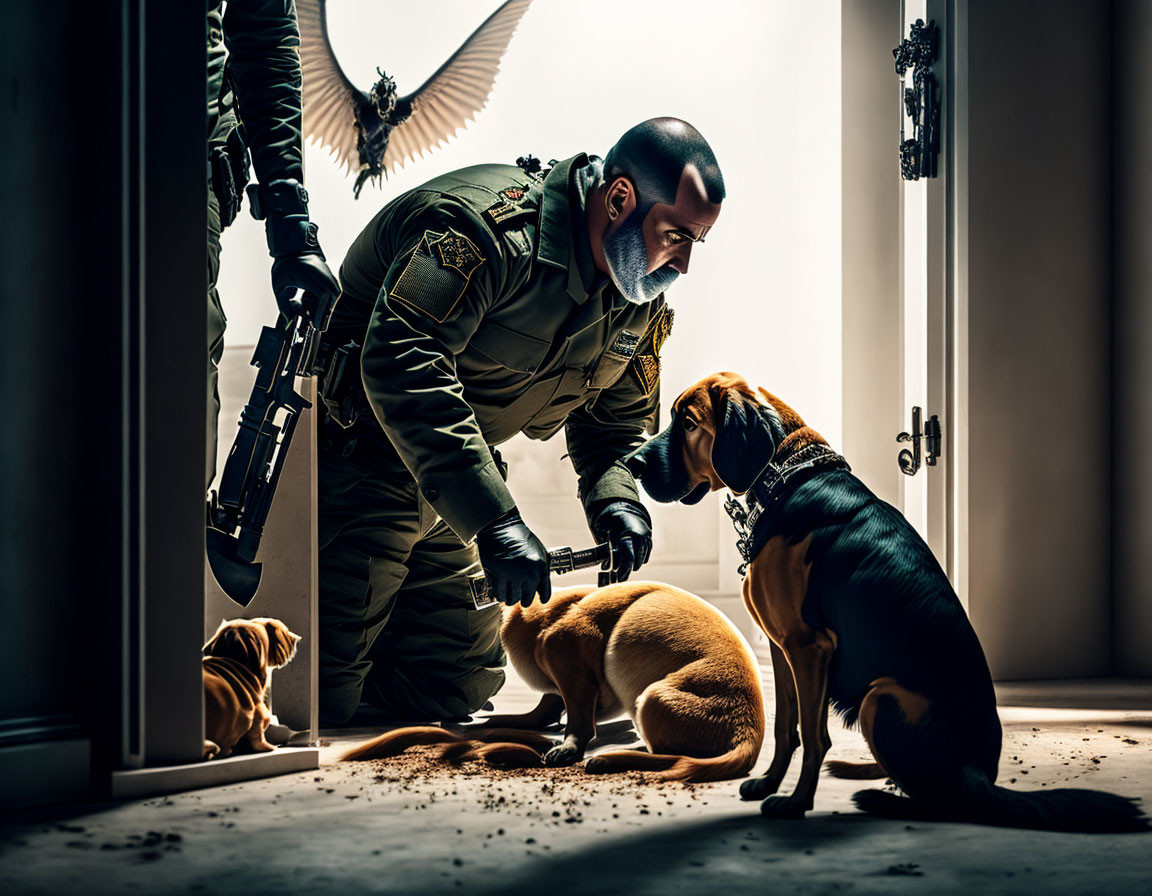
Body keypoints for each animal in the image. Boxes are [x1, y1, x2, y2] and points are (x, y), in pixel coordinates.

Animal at [340, 580, 764, 783]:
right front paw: (503, 722)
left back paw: (609, 758)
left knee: (666, 755)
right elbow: (545, 708)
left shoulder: (570, 657)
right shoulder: (559, 685)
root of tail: (749, 732)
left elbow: (578, 721)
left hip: (652, 698)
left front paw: (568, 746)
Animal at [626, 370, 1147, 829]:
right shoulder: (782, 647)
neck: (786, 478)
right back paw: (868, 775)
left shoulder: (809, 648)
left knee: (942, 801)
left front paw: (795, 804)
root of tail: (981, 775)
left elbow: (813, 735)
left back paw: (880, 796)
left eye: (688, 422)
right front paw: (770, 784)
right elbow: (785, 726)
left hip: (881, 697)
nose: (632, 464)